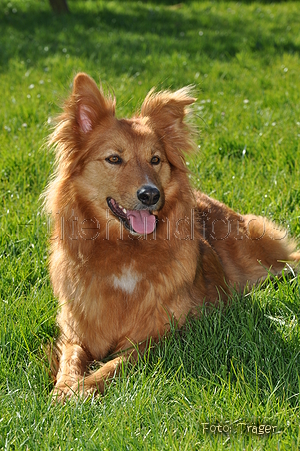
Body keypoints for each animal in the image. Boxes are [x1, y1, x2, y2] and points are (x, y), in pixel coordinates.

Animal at [43, 72, 298, 400]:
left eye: (155, 160)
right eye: (114, 159)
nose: (151, 195)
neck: (125, 249)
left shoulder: (159, 335)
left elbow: (117, 363)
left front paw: (85, 387)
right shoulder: (75, 330)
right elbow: (70, 358)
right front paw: (65, 389)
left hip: (259, 259)